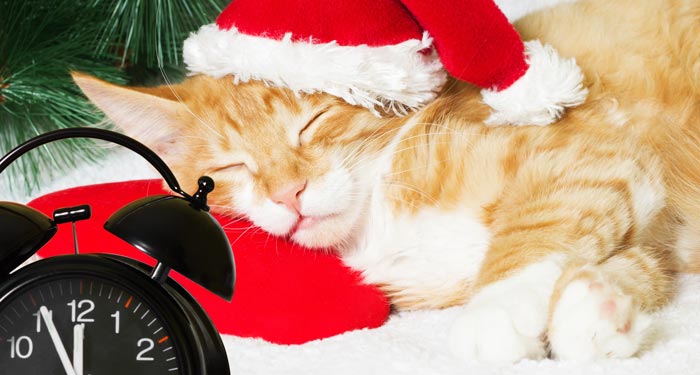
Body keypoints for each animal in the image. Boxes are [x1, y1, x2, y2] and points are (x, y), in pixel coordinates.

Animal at [71, 0, 700, 366]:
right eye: (229, 170)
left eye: (313, 122)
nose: (288, 195)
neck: (381, 216)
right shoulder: (648, 226)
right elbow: (633, 266)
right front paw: (602, 309)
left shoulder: (593, 152)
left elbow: (535, 231)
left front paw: (495, 313)